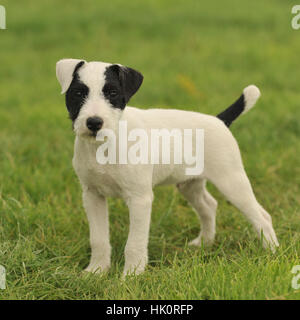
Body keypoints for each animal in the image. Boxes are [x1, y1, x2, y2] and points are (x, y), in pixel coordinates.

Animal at [55, 58, 278, 276]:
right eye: (78, 93)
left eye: (112, 93)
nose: (94, 123)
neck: (104, 145)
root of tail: (219, 120)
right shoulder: (92, 196)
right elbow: (98, 239)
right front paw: (97, 271)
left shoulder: (140, 199)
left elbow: (134, 243)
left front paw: (131, 275)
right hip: (190, 184)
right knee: (209, 206)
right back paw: (204, 243)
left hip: (231, 181)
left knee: (262, 216)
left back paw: (271, 251)